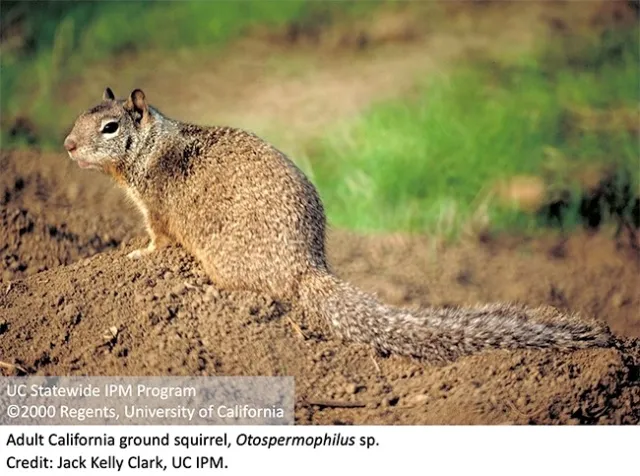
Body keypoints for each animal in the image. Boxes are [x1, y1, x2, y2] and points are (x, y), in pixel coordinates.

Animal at [63, 87, 613, 363]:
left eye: (110, 127)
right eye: (83, 114)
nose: (66, 146)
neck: (152, 147)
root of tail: (307, 267)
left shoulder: (156, 211)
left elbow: (158, 239)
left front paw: (139, 254)